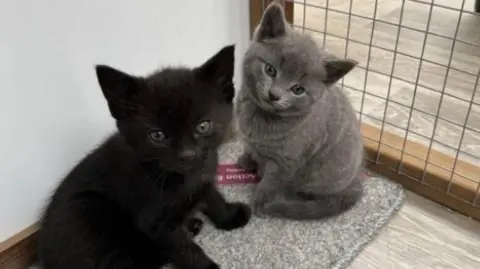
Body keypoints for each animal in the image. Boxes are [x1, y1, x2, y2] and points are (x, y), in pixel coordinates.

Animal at [36, 44, 251, 268]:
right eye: (157, 136)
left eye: (203, 126)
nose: (187, 154)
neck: (183, 179)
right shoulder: (153, 220)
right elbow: (182, 247)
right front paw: (205, 265)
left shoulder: (205, 173)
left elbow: (212, 196)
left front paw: (228, 216)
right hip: (89, 213)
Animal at [235, 2, 364, 219]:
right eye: (270, 70)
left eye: (298, 89)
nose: (274, 95)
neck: (261, 117)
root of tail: (356, 181)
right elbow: (250, 148)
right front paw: (247, 159)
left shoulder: (285, 162)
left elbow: (270, 183)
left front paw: (260, 202)